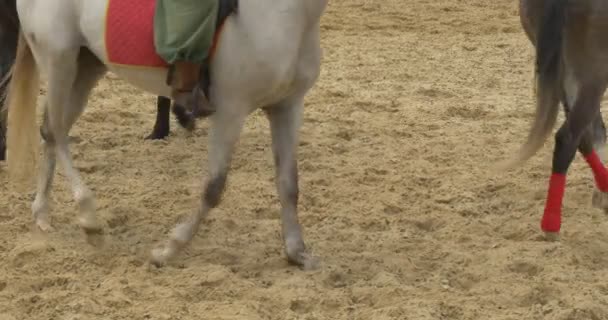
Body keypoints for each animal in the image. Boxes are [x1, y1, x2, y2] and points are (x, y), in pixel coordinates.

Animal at [4, 0, 328, 270]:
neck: (284, 12)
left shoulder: (288, 106)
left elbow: (289, 185)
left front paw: (297, 253)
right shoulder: (230, 111)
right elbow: (213, 188)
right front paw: (169, 249)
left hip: (85, 67)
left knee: (50, 131)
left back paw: (42, 214)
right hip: (58, 60)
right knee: (57, 133)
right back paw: (88, 217)